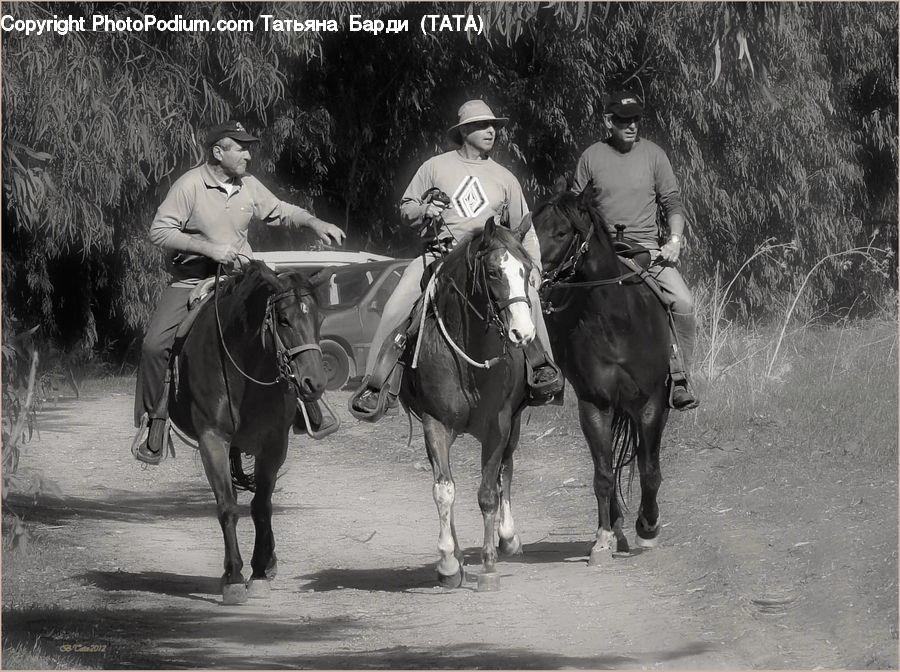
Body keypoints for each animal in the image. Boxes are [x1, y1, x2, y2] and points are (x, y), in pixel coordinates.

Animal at [168, 259, 327, 604]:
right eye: (283, 319)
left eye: (319, 318)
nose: (314, 383)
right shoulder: (212, 440)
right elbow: (228, 506)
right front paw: (234, 576)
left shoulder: (274, 445)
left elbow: (262, 506)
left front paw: (261, 570)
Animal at [399, 217, 537, 589]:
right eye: (492, 272)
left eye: (527, 270)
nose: (523, 333)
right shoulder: (435, 423)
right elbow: (444, 490)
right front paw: (448, 563)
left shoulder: (499, 425)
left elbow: (489, 491)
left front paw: (488, 565)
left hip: (512, 427)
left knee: (506, 470)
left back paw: (508, 538)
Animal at [530, 185, 672, 564]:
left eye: (560, 233)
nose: (529, 272)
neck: (615, 321)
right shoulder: (595, 404)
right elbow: (603, 474)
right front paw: (604, 538)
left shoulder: (652, 403)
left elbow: (649, 470)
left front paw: (648, 528)